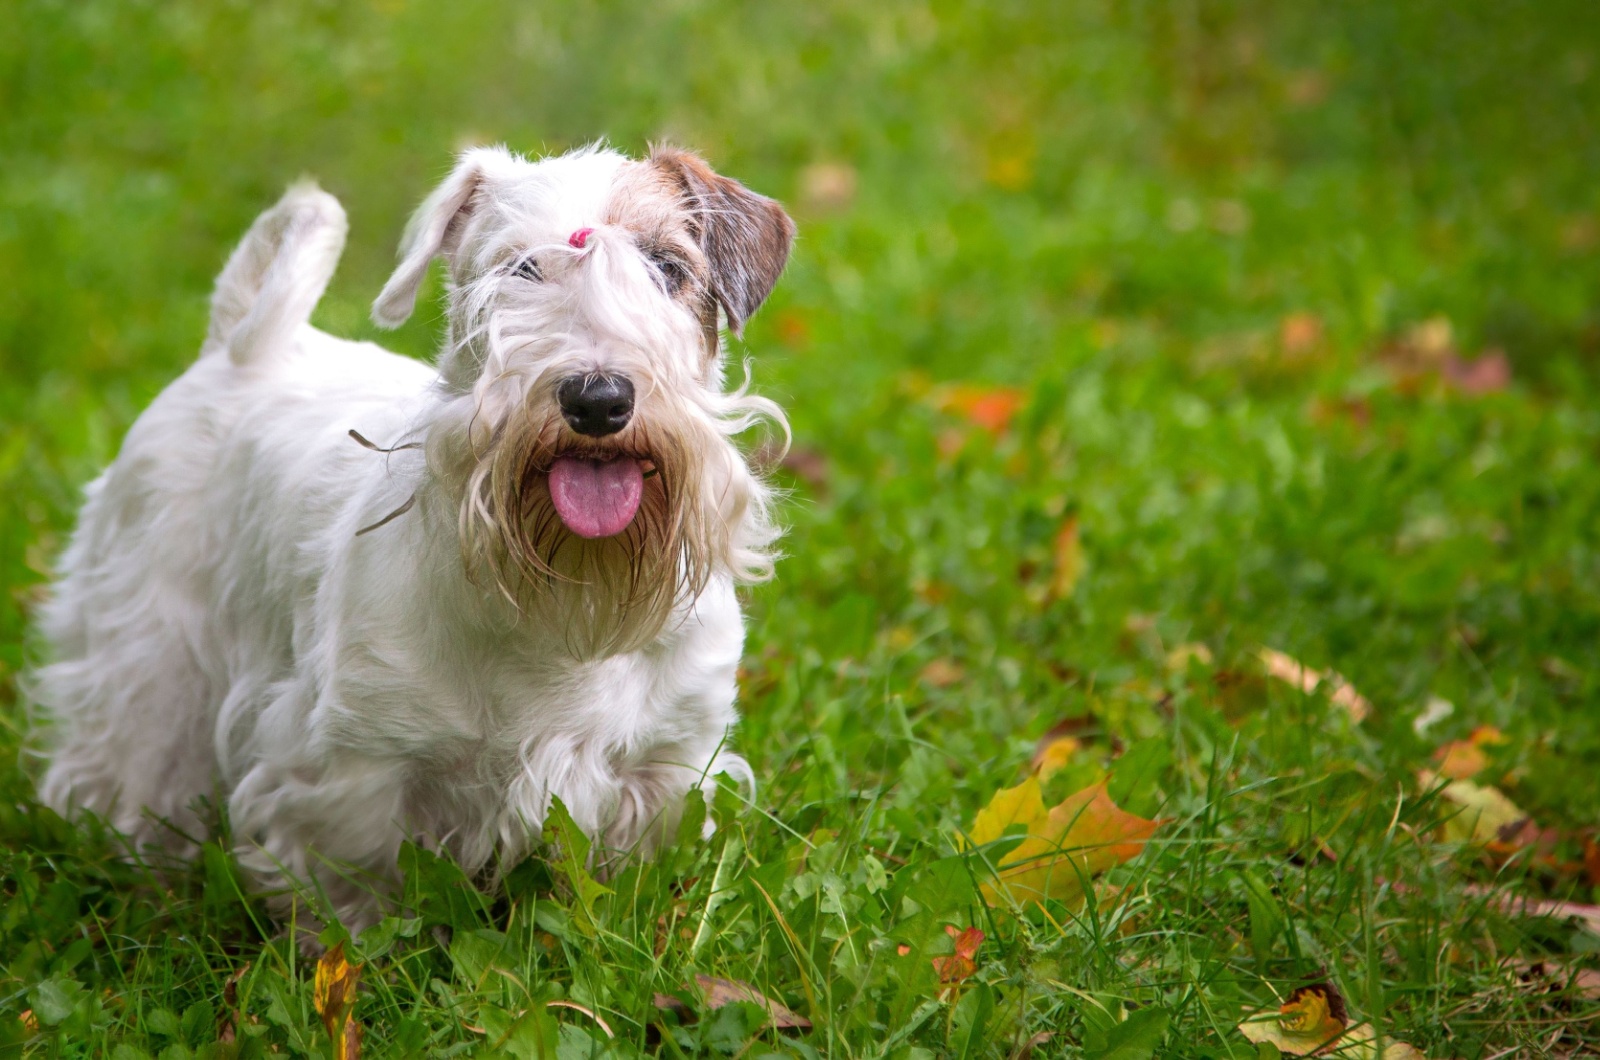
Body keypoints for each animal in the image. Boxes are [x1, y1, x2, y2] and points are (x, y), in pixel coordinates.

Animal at [28, 145, 790, 935]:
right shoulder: (353, 769)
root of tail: (238, 349)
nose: (598, 397)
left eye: (667, 266)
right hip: (151, 659)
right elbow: (354, 895)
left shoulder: (665, 767)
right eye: (520, 269)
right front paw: (351, 950)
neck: (557, 603)